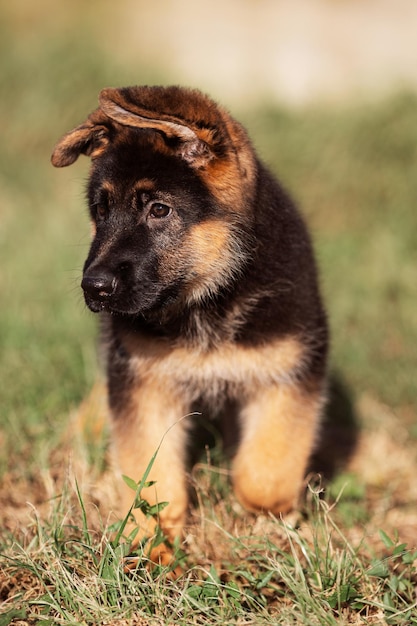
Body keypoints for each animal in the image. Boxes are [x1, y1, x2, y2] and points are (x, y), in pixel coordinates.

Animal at [50, 85, 326, 564]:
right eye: (101, 210)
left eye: (159, 210)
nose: (94, 288)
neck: (207, 298)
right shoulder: (144, 383)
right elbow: (150, 477)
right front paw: (153, 544)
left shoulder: (288, 374)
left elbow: (265, 475)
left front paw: (266, 523)